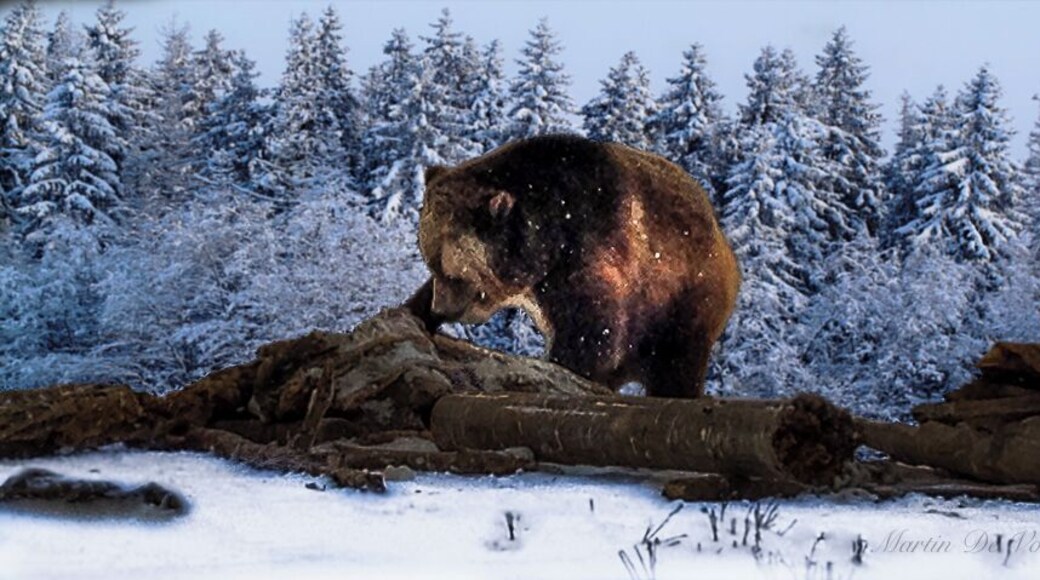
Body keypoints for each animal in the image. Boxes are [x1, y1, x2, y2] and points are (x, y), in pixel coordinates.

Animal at [405, 134, 740, 398]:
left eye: (454, 274)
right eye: (431, 264)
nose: (440, 308)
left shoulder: (592, 255)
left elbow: (590, 330)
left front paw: (563, 366)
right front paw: (413, 310)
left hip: (680, 302)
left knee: (675, 363)